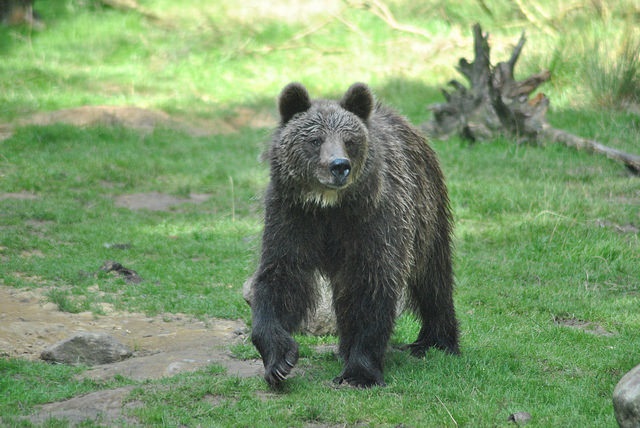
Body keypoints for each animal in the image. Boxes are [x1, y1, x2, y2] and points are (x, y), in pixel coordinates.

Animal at [249, 82, 459, 388]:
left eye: (349, 140)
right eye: (315, 140)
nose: (339, 165)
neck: (329, 207)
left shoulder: (373, 221)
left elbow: (372, 286)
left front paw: (360, 372)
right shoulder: (292, 216)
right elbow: (282, 278)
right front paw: (279, 361)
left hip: (427, 212)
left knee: (433, 278)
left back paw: (436, 341)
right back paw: (343, 349)